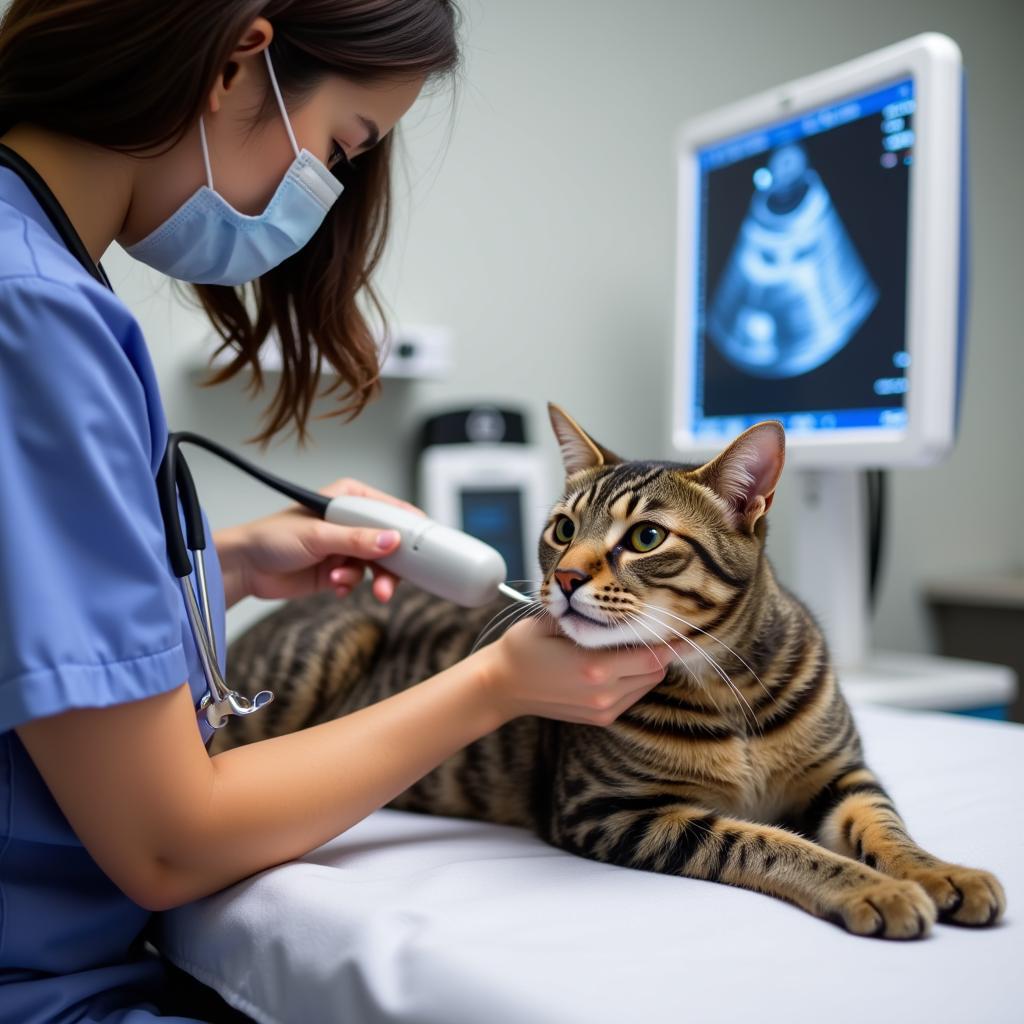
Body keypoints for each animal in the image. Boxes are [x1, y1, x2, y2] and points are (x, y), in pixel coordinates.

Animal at [211, 403, 1003, 937]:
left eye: (646, 537)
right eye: (562, 528)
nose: (562, 577)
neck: (728, 688)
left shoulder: (842, 777)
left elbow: (887, 828)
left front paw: (942, 873)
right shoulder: (618, 812)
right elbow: (770, 843)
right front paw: (871, 889)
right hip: (336, 641)